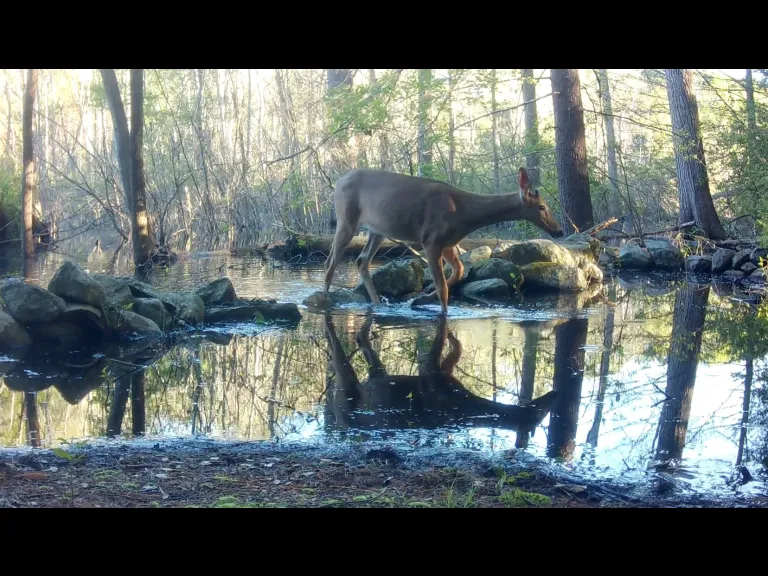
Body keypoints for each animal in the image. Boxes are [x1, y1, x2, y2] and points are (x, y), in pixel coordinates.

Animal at [323, 167, 564, 315]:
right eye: (542, 207)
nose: (559, 230)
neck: (465, 214)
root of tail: (338, 182)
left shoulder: (447, 244)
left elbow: (458, 272)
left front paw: (418, 300)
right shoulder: (431, 240)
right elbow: (442, 287)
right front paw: (442, 312)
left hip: (377, 230)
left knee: (361, 261)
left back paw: (377, 302)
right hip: (346, 218)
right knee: (330, 262)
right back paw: (324, 300)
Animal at [323, 313, 558, 435]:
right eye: (540, 414)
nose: (554, 394)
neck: (466, 404)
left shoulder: (444, 371)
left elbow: (455, 345)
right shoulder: (432, 372)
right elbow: (442, 332)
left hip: (376, 374)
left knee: (363, 342)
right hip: (346, 386)